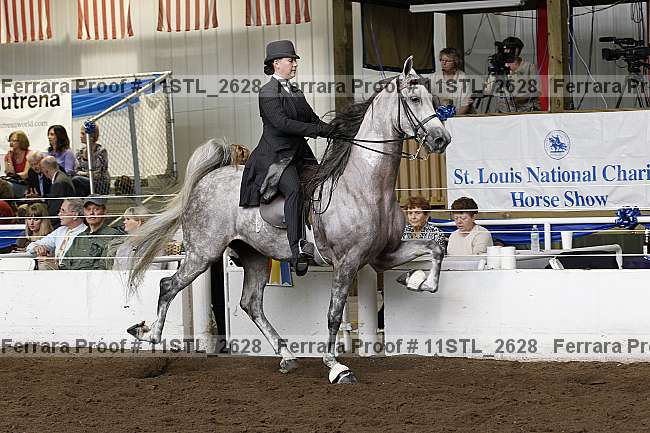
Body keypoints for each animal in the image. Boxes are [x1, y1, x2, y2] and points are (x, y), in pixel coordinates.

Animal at [126, 57, 452, 384]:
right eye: (414, 99)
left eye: (434, 100)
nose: (442, 140)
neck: (367, 185)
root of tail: (209, 177)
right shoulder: (347, 261)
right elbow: (334, 314)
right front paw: (336, 366)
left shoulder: (383, 255)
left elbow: (436, 249)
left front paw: (416, 280)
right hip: (203, 252)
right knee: (169, 285)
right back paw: (148, 335)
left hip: (253, 255)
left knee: (250, 303)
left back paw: (286, 355)